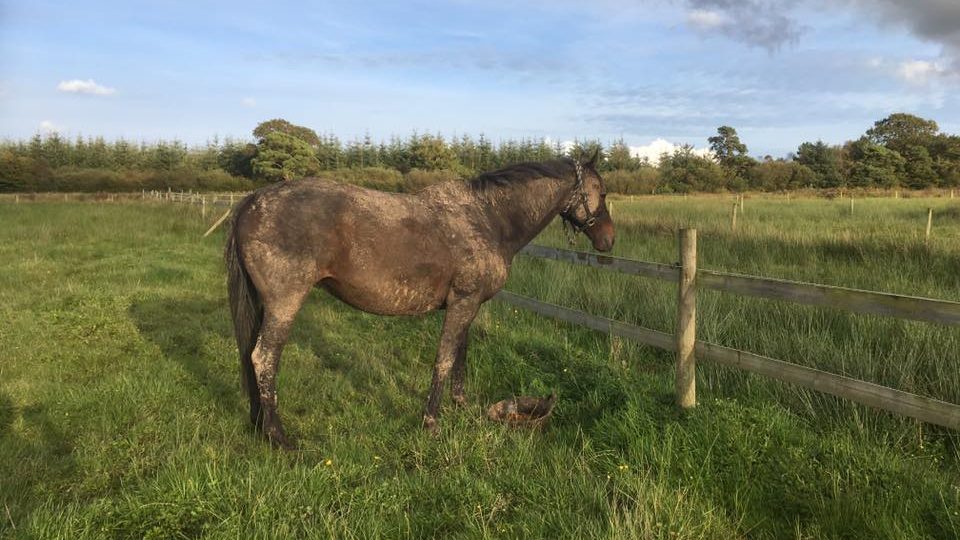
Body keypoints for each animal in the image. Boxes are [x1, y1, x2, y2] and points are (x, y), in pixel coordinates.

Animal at [225, 152, 615, 449]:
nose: (609, 240)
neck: (488, 218)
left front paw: (460, 406)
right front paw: (431, 424)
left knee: (250, 355)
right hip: (284, 305)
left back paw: (258, 424)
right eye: (602, 191)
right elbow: (444, 360)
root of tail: (252, 201)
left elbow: (460, 357)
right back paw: (278, 437)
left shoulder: (467, 305)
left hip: (263, 306)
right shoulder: (463, 303)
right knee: (264, 359)